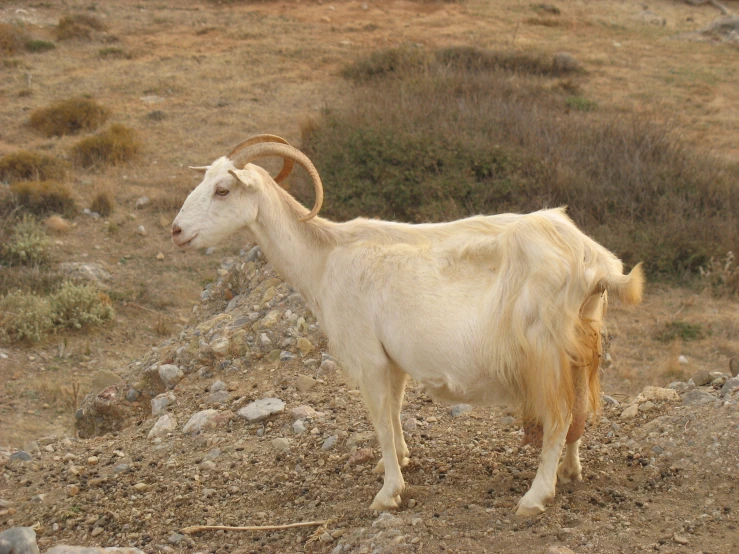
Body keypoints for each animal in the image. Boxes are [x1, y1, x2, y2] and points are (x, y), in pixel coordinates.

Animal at [172, 134, 640, 512]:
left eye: (222, 189)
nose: (177, 232)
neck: (325, 258)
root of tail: (595, 262)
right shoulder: (391, 359)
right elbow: (395, 412)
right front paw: (399, 458)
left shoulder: (368, 357)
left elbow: (379, 420)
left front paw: (388, 493)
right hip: (579, 346)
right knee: (578, 411)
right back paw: (570, 472)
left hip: (544, 350)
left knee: (558, 416)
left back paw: (535, 496)